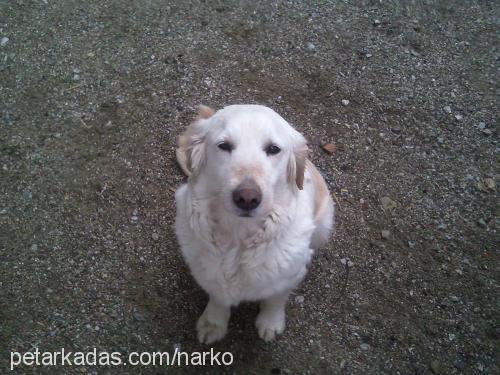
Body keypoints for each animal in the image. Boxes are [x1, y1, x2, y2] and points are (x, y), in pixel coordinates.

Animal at [174, 104, 334, 346]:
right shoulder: (209, 274)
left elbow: (276, 299)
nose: (247, 198)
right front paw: (213, 323)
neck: (238, 237)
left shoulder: (288, 277)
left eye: (273, 149)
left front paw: (270, 322)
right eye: (224, 146)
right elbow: (218, 297)